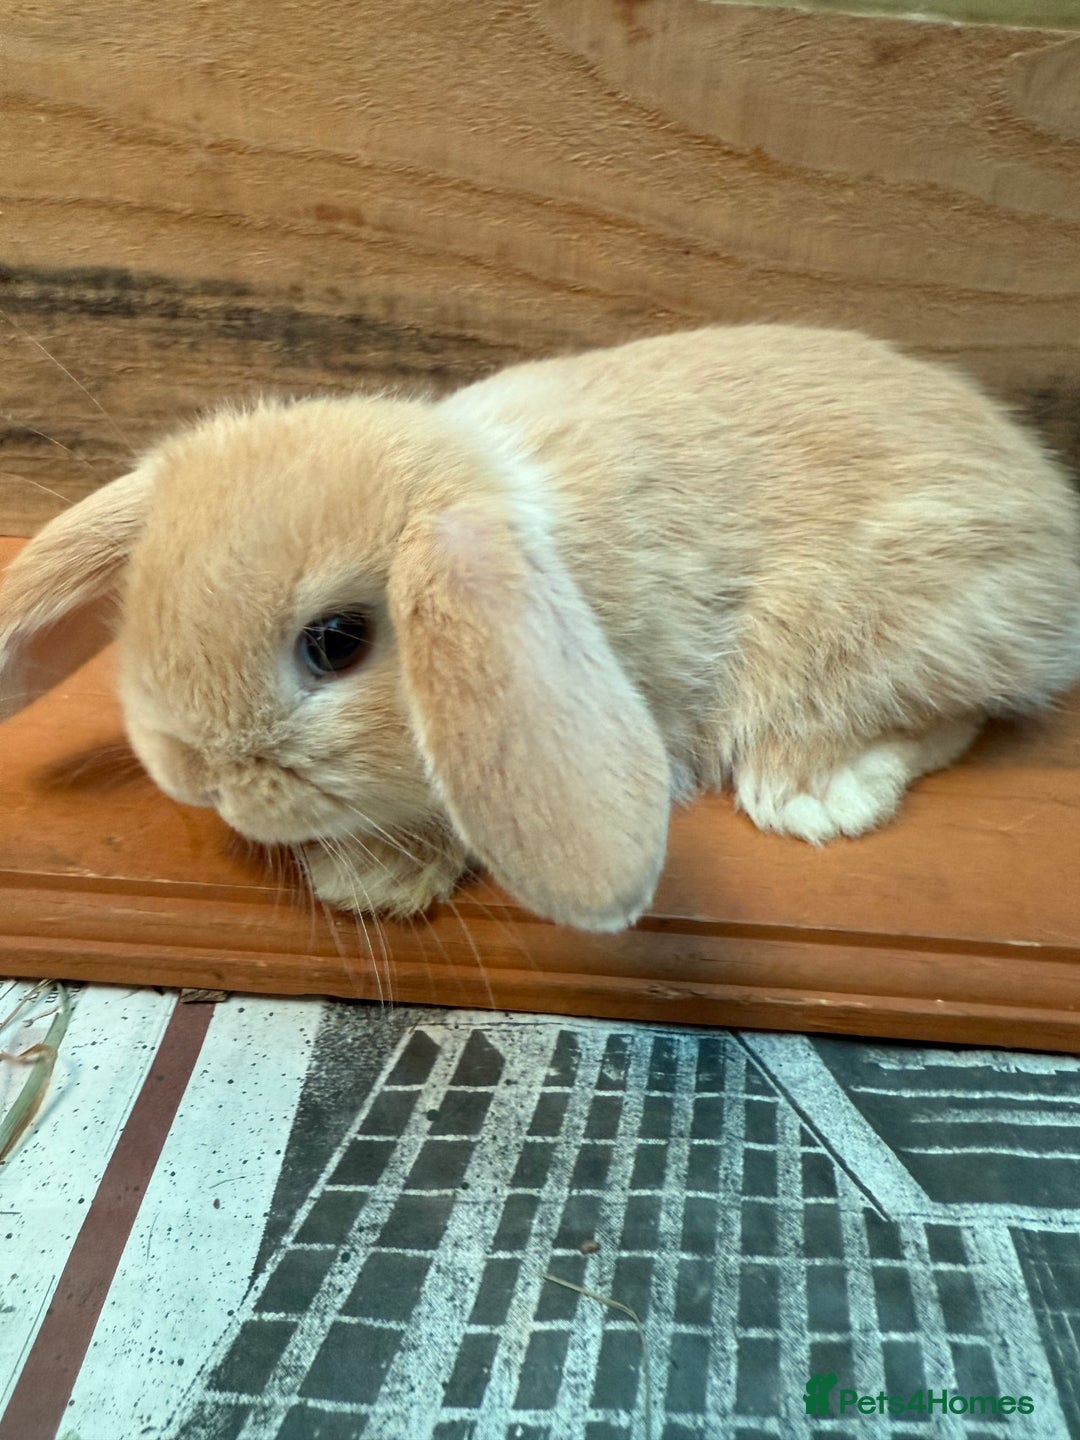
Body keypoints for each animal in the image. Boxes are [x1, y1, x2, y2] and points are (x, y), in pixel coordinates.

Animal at [1, 325, 1078, 933]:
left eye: (336, 642)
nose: (195, 777)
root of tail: (1050, 518)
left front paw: (371, 883)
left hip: (881, 628)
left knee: (942, 715)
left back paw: (811, 793)